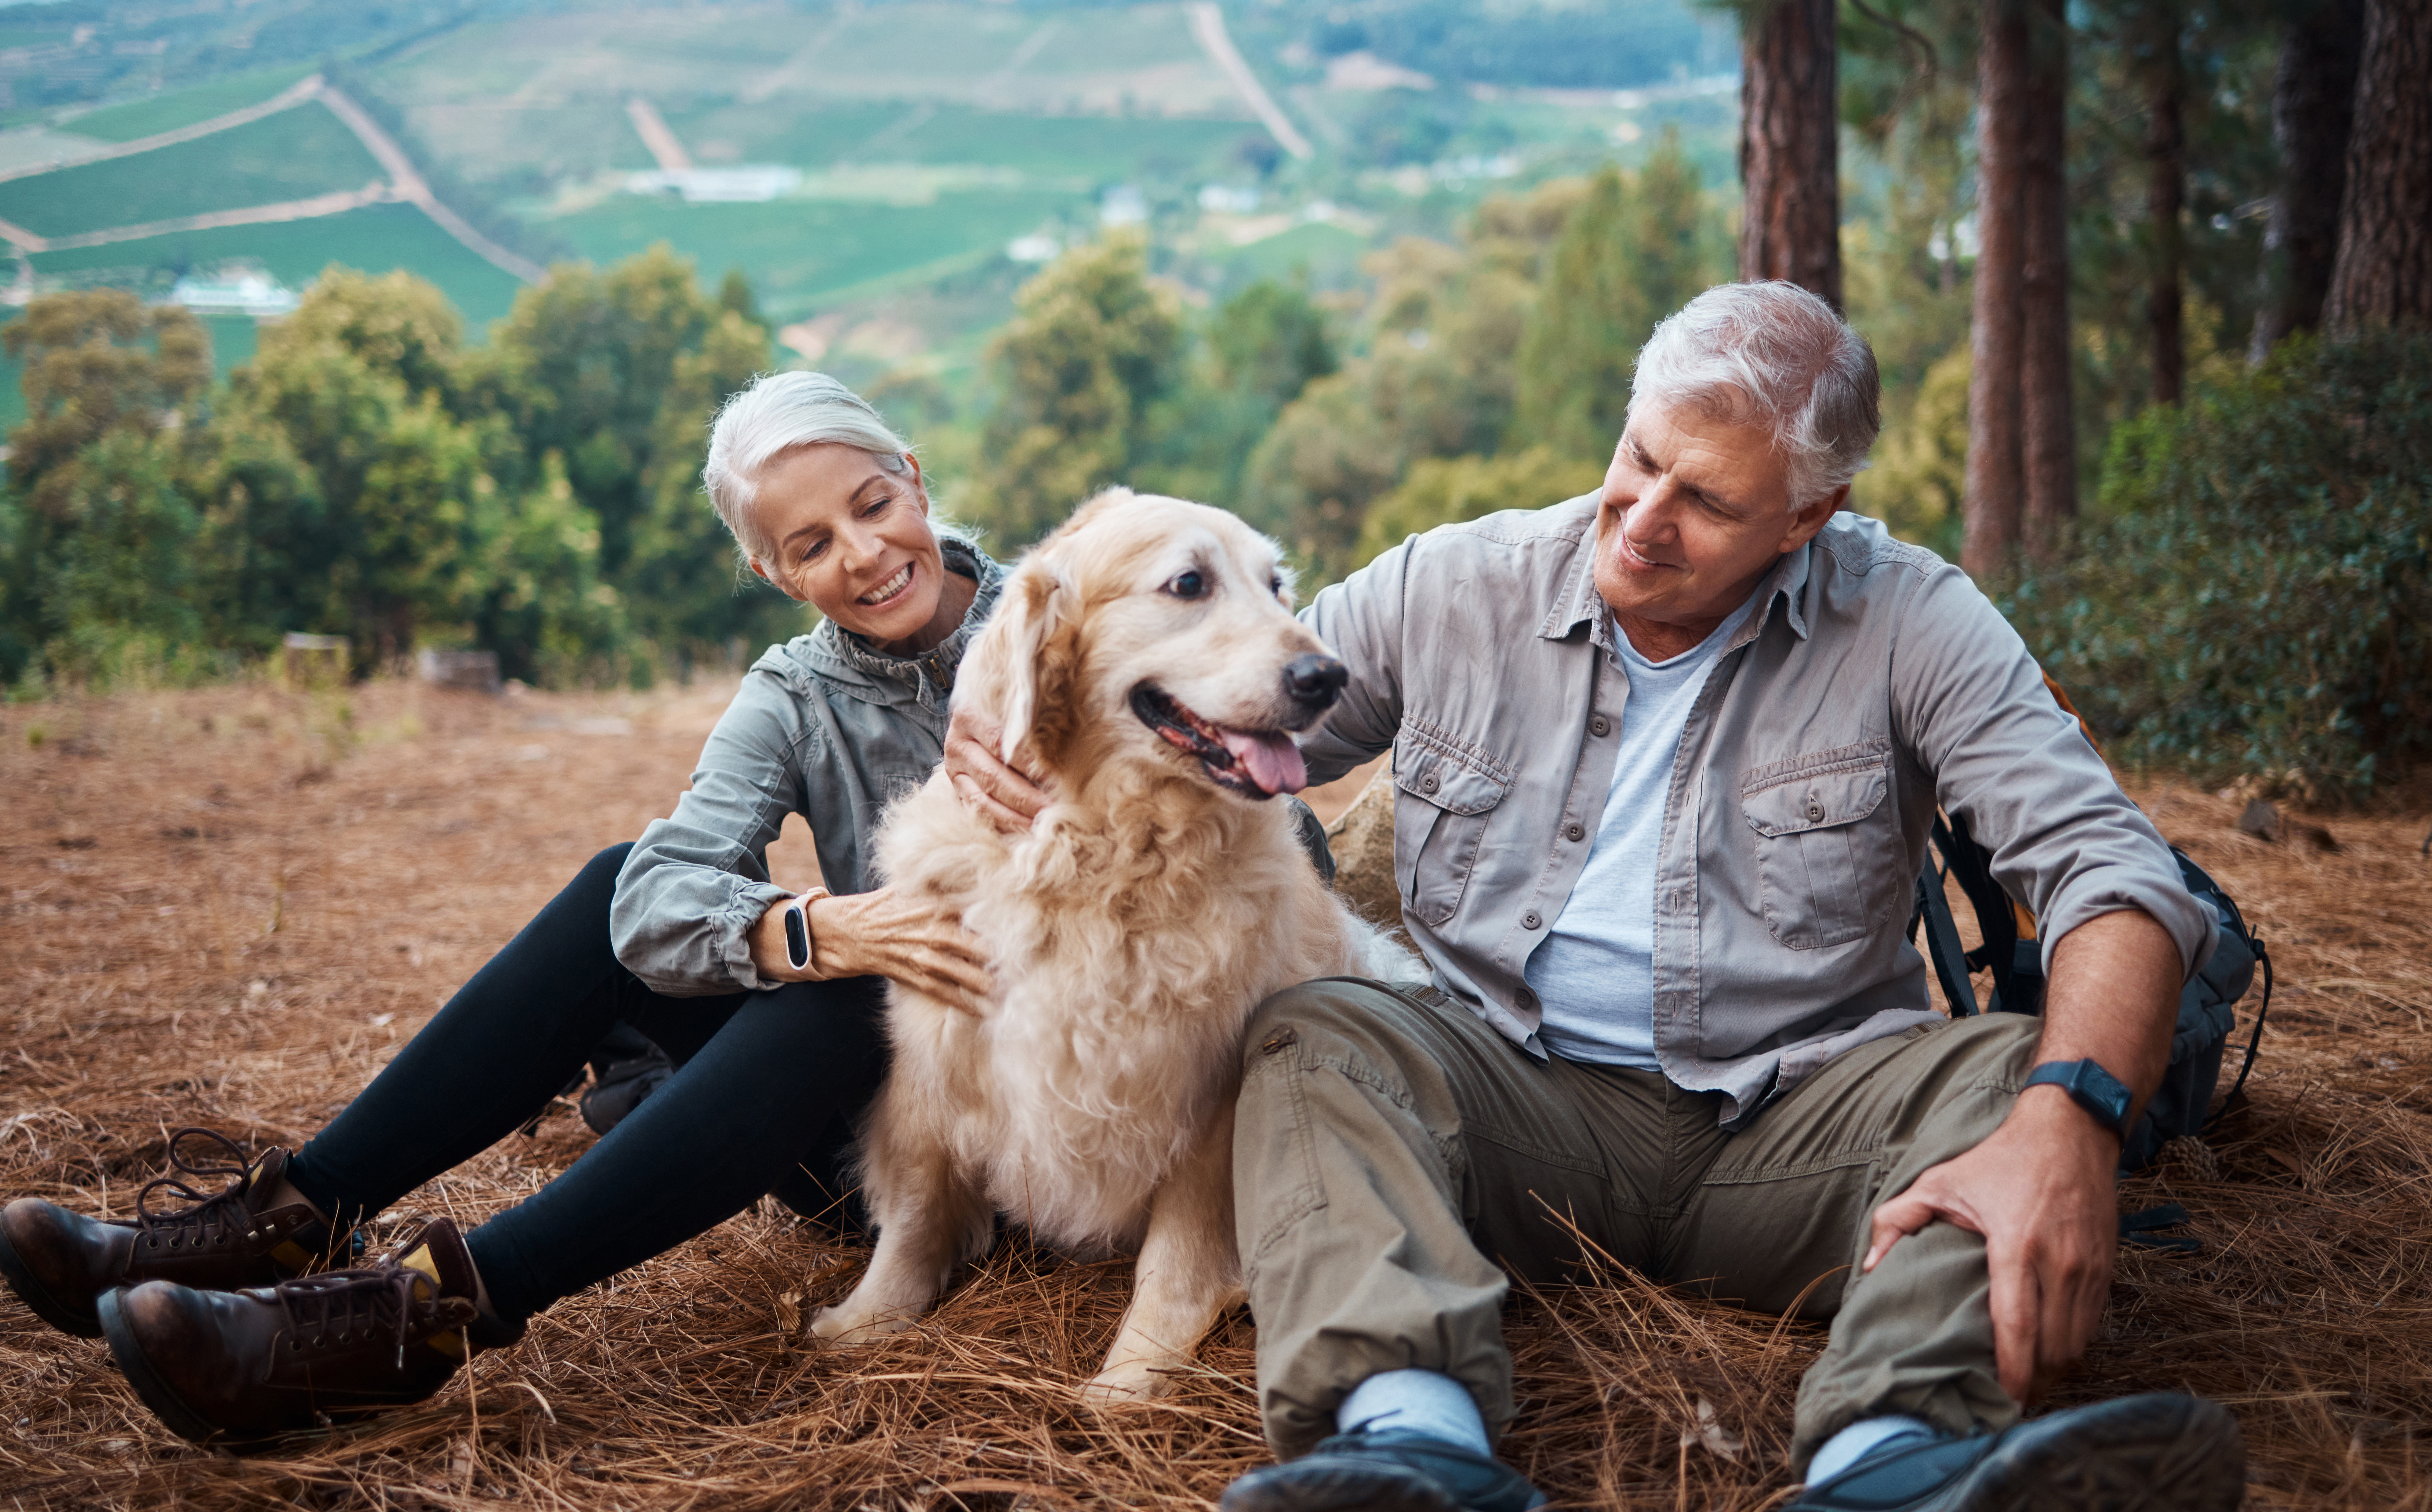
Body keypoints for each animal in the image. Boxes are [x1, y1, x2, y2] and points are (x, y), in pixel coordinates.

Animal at [807, 491, 1420, 1400]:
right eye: (1189, 583)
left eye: (1276, 585)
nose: (1327, 676)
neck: (1104, 846)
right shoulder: (938, 1045)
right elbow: (916, 1206)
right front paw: (866, 1320)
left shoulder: (1210, 1086)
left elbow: (1177, 1254)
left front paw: (1130, 1377)